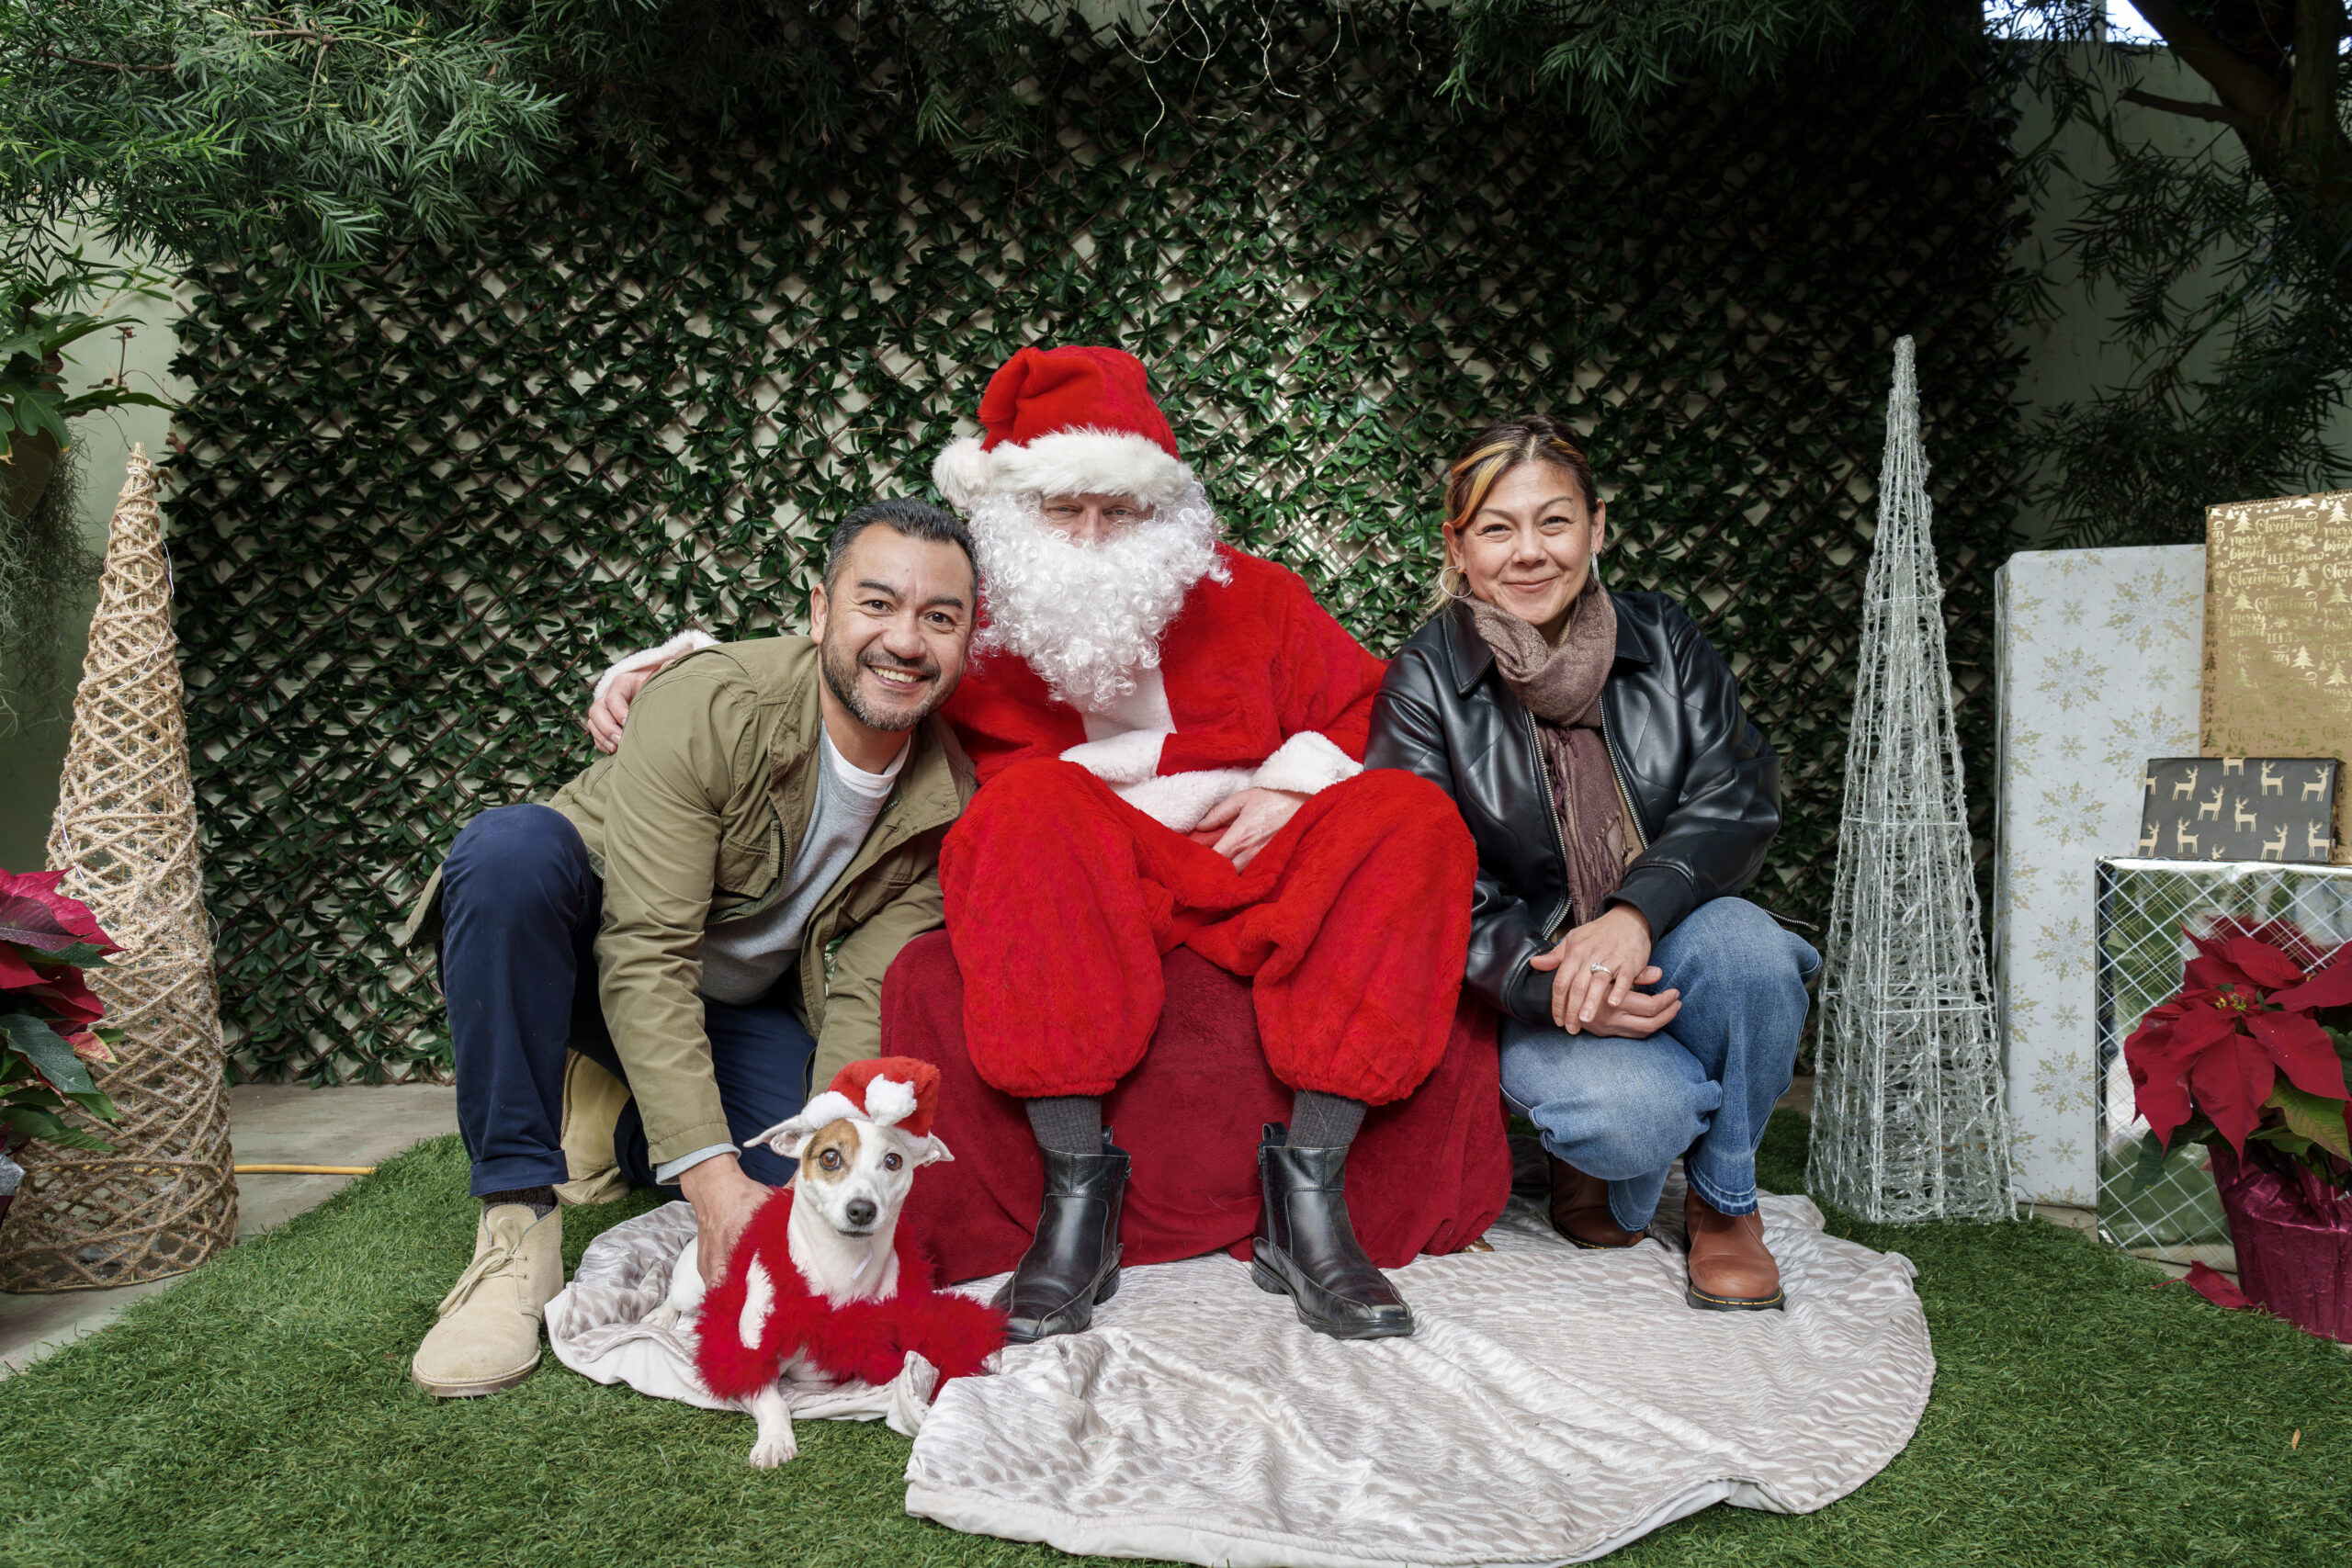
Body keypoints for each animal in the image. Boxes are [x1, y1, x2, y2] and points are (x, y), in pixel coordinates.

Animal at [649, 1057, 1003, 1467]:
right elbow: (771, 1399)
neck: (840, 1266)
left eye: (893, 1161)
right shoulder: (751, 1361)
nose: (862, 1209)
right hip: (692, 1287)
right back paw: (658, 1316)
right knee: (673, 1297)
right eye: (830, 1157)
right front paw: (775, 1439)